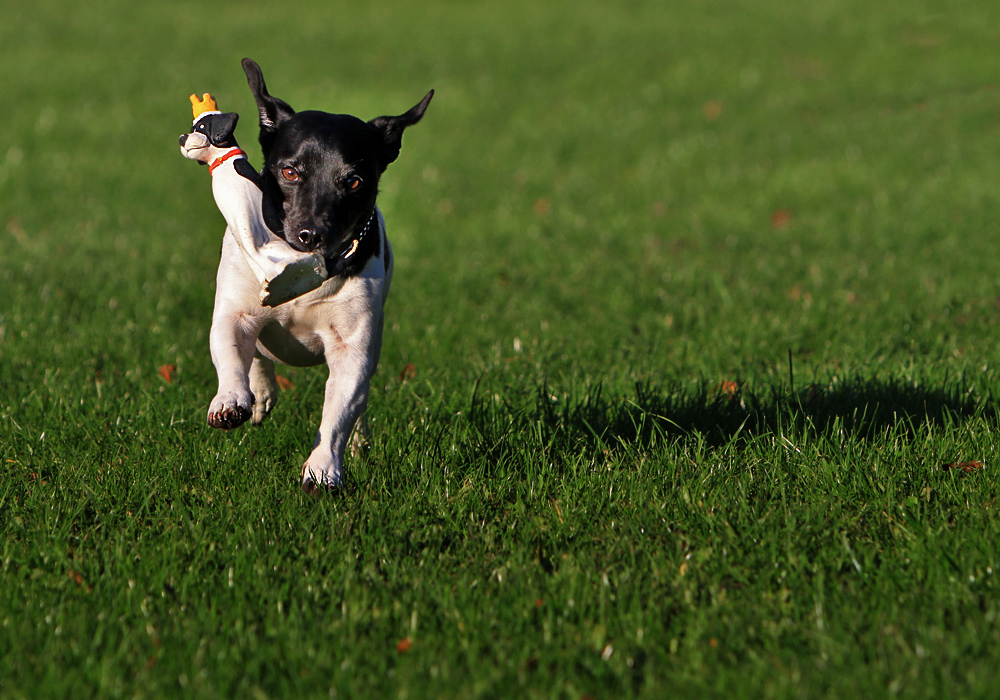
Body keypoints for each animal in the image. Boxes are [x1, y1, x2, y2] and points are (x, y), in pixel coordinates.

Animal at [207, 57, 430, 490]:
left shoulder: (353, 347)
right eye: (290, 173)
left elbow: (339, 411)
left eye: (354, 181)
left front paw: (323, 466)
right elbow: (230, 349)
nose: (312, 234)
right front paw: (232, 399)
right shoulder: (235, 310)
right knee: (257, 354)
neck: (300, 269)